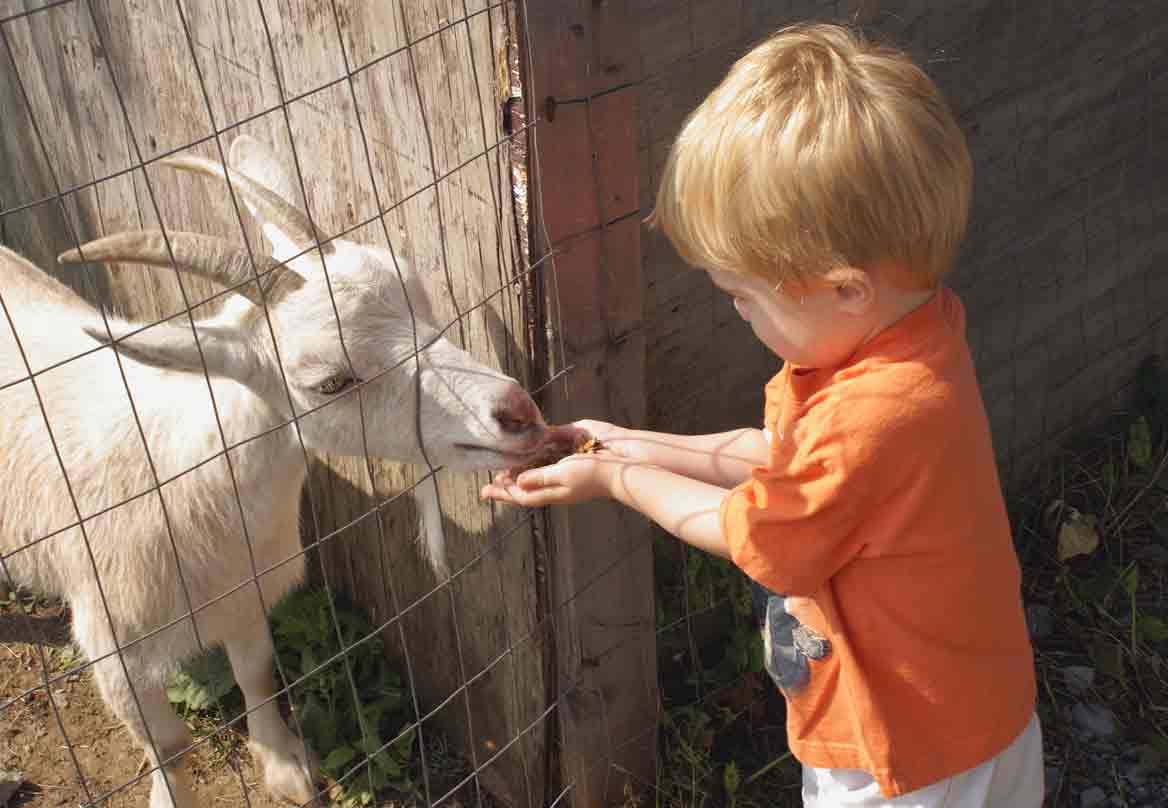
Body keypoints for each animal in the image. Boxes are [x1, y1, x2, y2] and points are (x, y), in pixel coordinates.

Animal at [0, 137, 546, 808]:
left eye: (420, 302)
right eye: (330, 382)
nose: (516, 413)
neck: (181, 479)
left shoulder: (247, 589)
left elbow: (256, 673)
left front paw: (285, 765)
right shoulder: (113, 648)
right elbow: (170, 746)